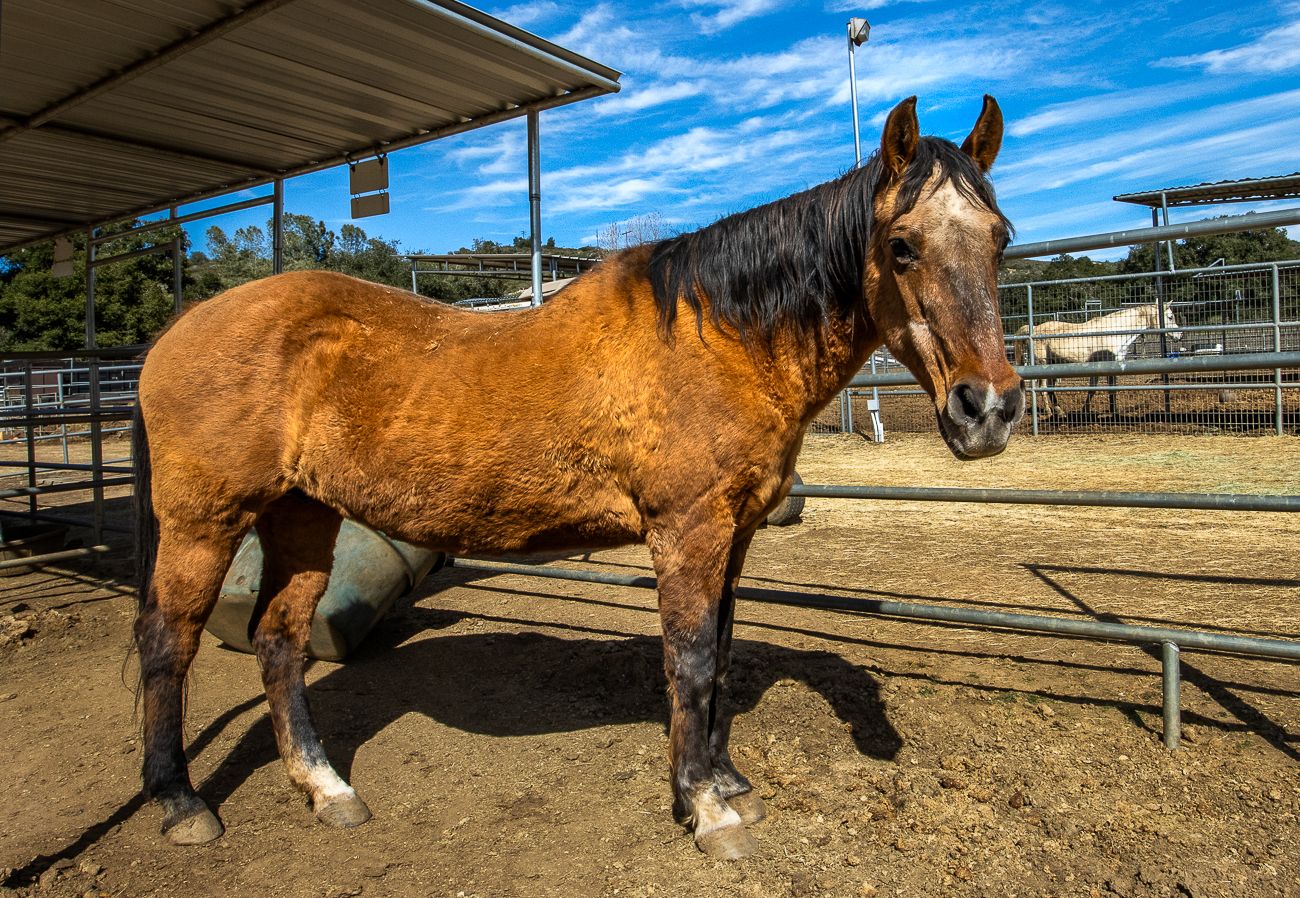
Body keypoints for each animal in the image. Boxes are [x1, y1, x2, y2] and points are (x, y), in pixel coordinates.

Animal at [132, 95, 1021, 861]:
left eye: (1000, 239)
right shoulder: (687, 532)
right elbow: (691, 660)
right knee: (168, 641)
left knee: (279, 643)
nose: (989, 408)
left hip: (302, 515)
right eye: (902, 245)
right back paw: (181, 803)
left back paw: (327, 790)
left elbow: (723, 652)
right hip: (203, 522)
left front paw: (728, 780)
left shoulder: (733, 536)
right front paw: (705, 807)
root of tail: (176, 331)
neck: (716, 334)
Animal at [1013, 303, 1181, 417]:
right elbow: (1100, 389)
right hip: (1043, 363)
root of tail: (1034, 329)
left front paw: (1104, 411)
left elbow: (1103, 389)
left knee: (1047, 388)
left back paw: (1055, 411)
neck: (1114, 332)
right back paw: (1053, 412)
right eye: (1170, 316)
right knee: (1043, 388)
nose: (1179, 336)